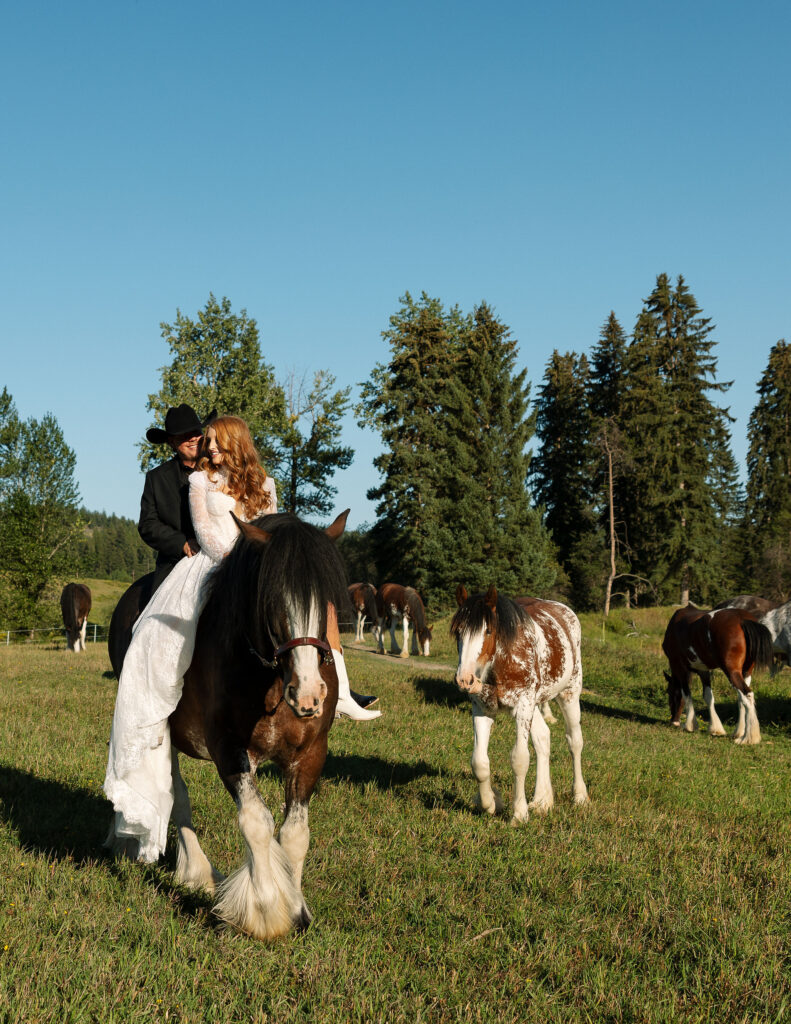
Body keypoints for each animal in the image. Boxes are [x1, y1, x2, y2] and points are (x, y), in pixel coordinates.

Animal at [111, 510, 351, 940]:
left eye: (324, 598)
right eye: (271, 598)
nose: (309, 694)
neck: (269, 678)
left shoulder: (311, 754)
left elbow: (294, 834)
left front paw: (297, 907)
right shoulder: (228, 749)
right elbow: (256, 822)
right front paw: (266, 911)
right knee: (174, 793)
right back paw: (190, 868)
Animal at [450, 585, 588, 825]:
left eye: (488, 631)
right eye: (458, 631)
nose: (465, 680)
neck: (503, 660)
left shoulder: (523, 707)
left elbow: (520, 759)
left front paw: (519, 813)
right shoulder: (482, 710)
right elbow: (479, 762)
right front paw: (490, 802)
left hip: (569, 694)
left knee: (574, 741)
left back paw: (579, 795)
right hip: (534, 705)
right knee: (543, 737)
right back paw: (542, 800)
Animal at [662, 605, 774, 744]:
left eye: (668, 692)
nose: (674, 721)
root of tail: (742, 619)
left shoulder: (680, 667)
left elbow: (686, 693)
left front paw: (690, 725)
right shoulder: (703, 670)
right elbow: (708, 696)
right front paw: (715, 728)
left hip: (732, 672)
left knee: (747, 695)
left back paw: (747, 738)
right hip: (746, 672)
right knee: (741, 698)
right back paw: (739, 732)